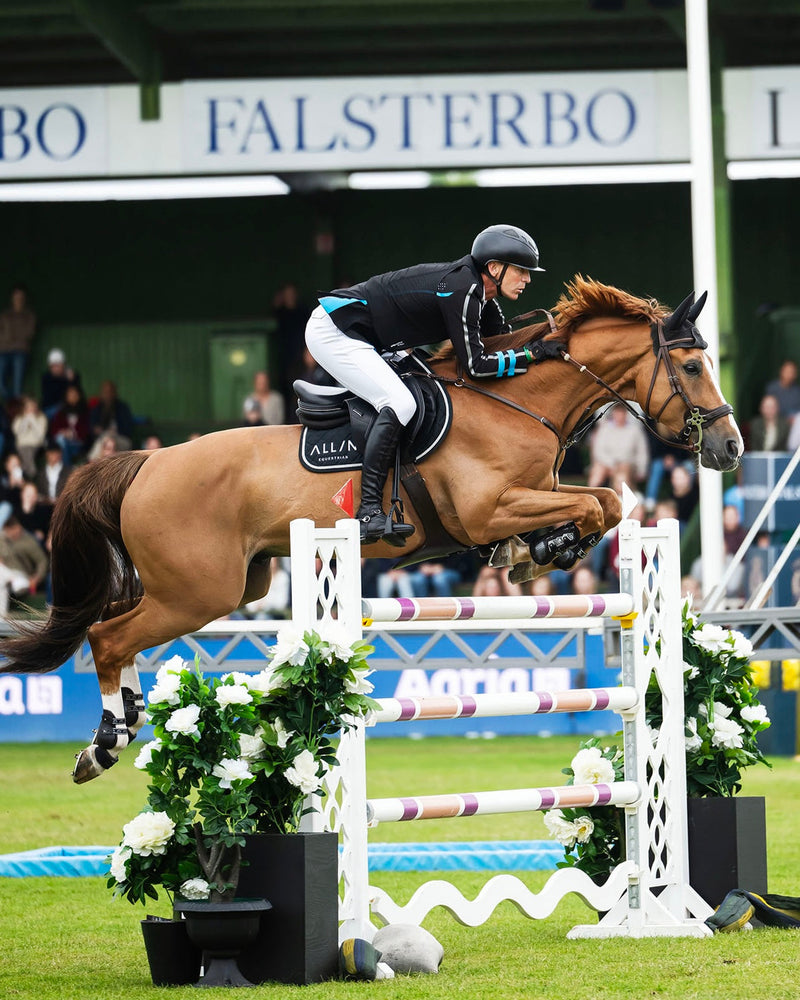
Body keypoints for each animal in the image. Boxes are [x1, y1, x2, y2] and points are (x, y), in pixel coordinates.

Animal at [0, 276, 742, 783]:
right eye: (693, 365)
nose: (729, 448)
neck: (514, 400)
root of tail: (146, 463)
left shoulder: (537, 489)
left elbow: (608, 502)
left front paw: (542, 550)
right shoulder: (487, 506)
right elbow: (593, 507)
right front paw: (543, 549)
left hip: (231, 586)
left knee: (120, 629)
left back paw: (117, 728)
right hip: (197, 591)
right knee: (107, 634)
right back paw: (104, 741)